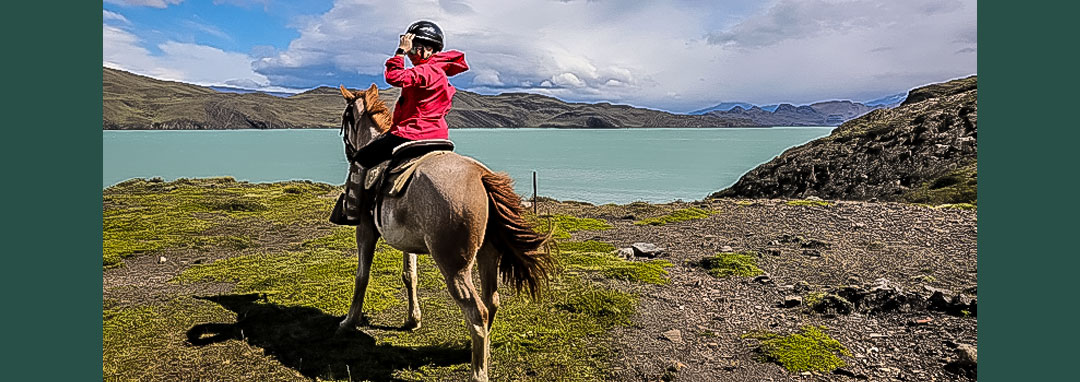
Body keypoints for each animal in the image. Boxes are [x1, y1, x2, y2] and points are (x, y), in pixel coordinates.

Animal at [332, 84, 552, 382]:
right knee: (491, 301)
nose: (348, 150)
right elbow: (409, 276)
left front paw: (349, 321)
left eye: (346, 118)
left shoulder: (365, 230)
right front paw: (413, 319)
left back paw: (478, 372)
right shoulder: (407, 242)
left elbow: (362, 276)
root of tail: (480, 177)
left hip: (455, 267)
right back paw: (480, 351)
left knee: (477, 312)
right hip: (487, 254)